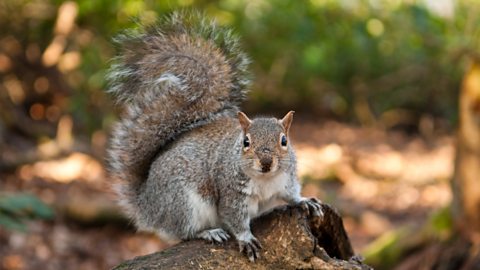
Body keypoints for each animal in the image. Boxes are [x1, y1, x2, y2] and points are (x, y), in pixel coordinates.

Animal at [105, 11, 322, 262]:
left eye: (284, 141)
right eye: (246, 142)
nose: (266, 162)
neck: (265, 179)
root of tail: (147, 203)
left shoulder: (286, 180)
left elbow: (291, 195)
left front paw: (305, 201)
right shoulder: (231, 193)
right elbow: (235, 218)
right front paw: (246, 239)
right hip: (183, 203)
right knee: (184, 231)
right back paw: (209, 232)